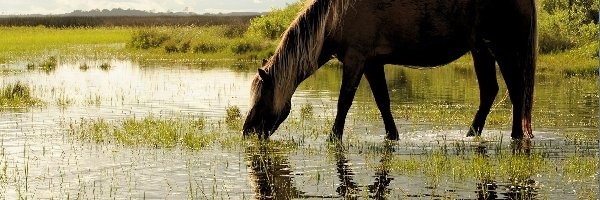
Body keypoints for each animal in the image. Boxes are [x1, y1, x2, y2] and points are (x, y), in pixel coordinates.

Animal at [241, 0, 536, 141]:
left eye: (262, 98)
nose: (247, 131)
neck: (335, 17)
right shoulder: (372, 63)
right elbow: (383, 101)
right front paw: (392, 136)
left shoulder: (356, 60)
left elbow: (344, 102)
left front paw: (333, 138)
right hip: (481, 50)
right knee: (491, 91)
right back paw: (471, 134)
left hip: (503, 49)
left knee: (515, 90)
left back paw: (515, 136)